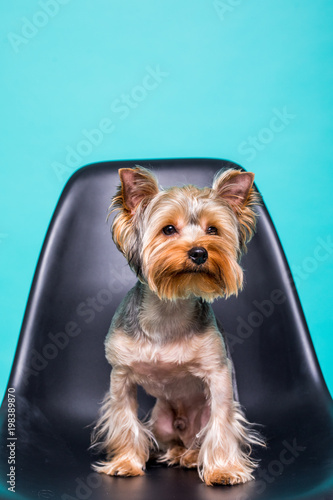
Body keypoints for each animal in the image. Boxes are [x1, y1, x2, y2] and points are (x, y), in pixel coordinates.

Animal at [89, 167, 264, 484]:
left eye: (213, 230)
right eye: (168, 229)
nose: (199, 253)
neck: (169, 308)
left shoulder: (218, 374)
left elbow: (222, 422)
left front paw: (223, 470)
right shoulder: (120, 375)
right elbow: (124, 417)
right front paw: (126, 463)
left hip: (200, 418)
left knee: (200, 437)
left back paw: (192, 458)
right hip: (161, 422)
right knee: (172, 440)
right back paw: (174, 454)